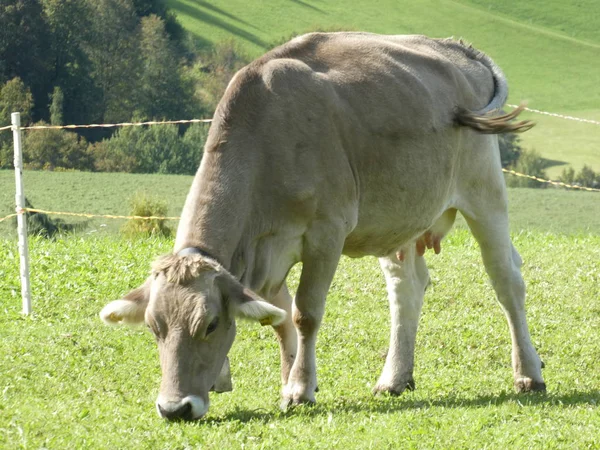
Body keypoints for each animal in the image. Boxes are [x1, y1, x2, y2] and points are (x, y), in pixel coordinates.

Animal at [101, 32, 548, 422]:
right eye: (154, 327)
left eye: (210, 324)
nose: (174, 408)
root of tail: (454, 46)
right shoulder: (267, 254)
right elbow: (278, 318)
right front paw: (285, 380)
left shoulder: (325, 233)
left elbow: (304, 314)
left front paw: (300, 387)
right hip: (398, 217)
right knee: (407, 288)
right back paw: (394, 377)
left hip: (484, 190)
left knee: (506, 280)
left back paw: (529, 373)